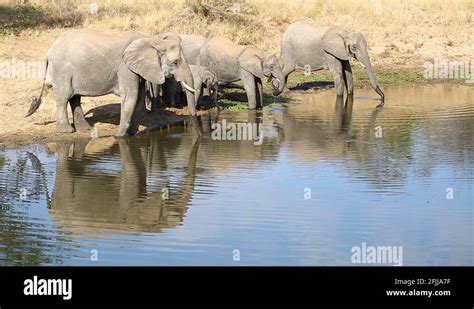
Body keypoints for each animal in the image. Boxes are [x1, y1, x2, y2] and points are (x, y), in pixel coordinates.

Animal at [25, 29, 200, 137]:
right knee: (64, 97)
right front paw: (120, 137)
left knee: (75, 98)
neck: (152, 40)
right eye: (175, 62)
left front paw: (132, 134)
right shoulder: (125, 68)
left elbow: (138, 98)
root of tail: (49, 51)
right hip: (62, 69)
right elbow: (130, 96)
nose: (199, 134)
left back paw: (86, 129)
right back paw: (67, 131)